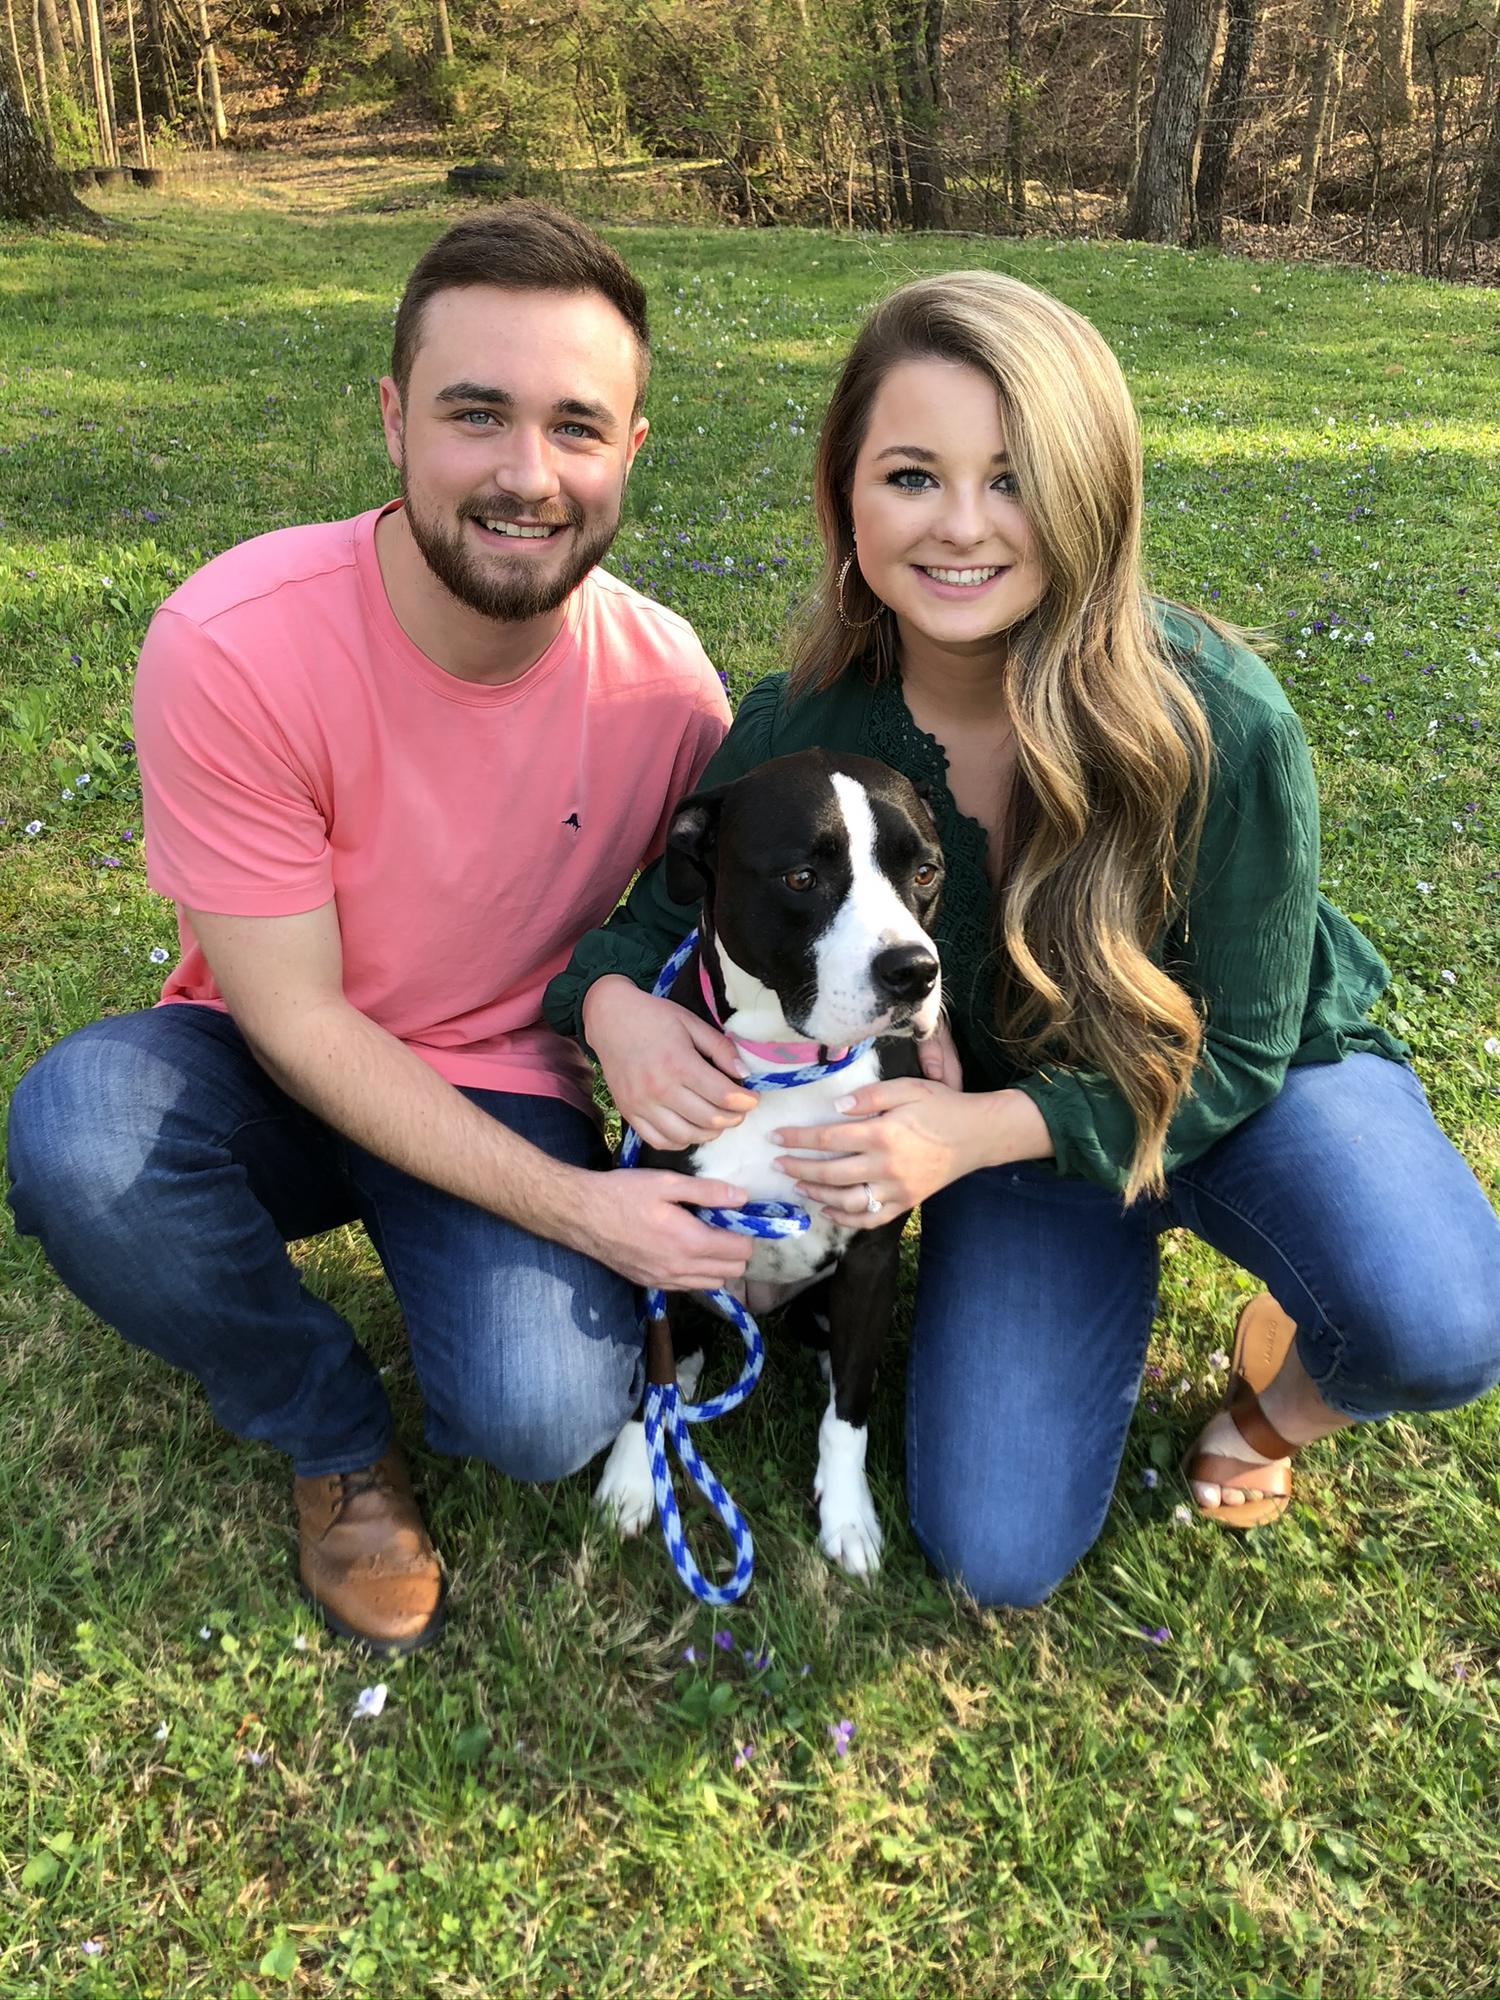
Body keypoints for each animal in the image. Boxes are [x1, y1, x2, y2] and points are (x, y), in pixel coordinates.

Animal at [594, 748, 944, 1578]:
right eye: (801, 878)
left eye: (924, 872)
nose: (914, 972)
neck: (782, 1065)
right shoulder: (656, 1235)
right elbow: (652, 1373)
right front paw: (634, 1474)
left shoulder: (872, 1253)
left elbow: (848, 1414)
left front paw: (847, 1513)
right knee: (683, 1347)